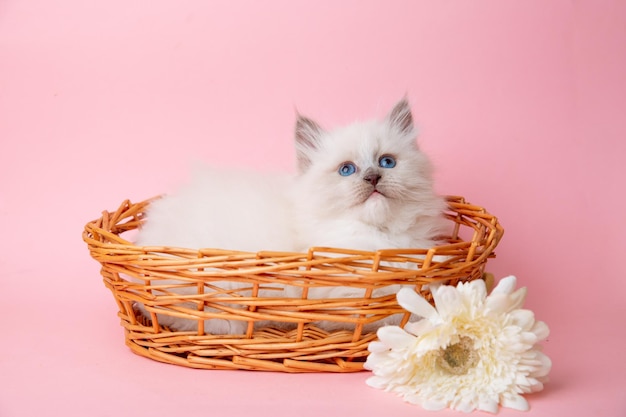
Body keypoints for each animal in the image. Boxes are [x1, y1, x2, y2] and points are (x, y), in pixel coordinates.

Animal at [134, 99, 446, 334]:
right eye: (346, 170)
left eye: (387, 162)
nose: (372, 177)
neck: (379, 237)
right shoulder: (344, 300)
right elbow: (401, 311)